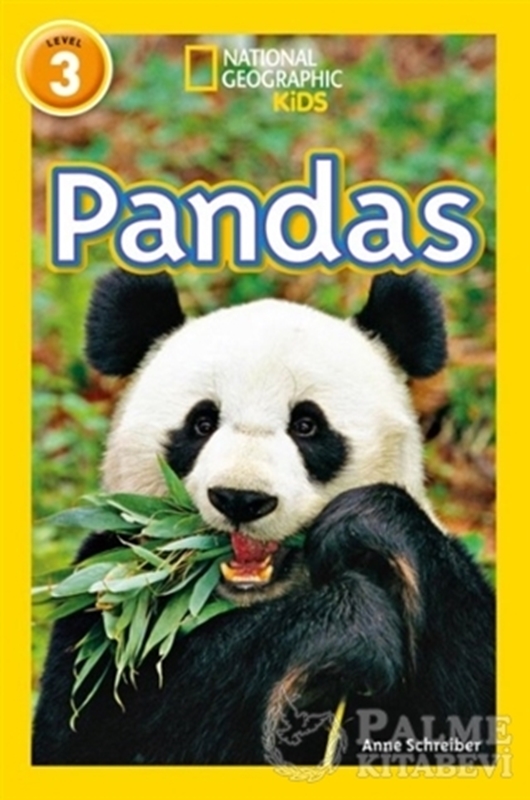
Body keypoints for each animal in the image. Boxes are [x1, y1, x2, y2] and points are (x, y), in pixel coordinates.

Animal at [32, 270, 495, 766]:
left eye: (307, 425)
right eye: (202, 423)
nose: (241, 498)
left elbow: (468, 706)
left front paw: (367, 524)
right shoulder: (107, 598)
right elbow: (98, 733)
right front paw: (351, 624)